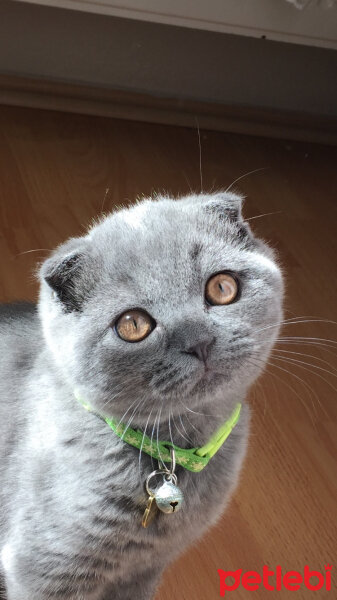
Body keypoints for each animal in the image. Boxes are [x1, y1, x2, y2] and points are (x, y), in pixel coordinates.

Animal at [0, 193, 282, 600]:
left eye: (222, 288)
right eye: (133, 324)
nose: (199, 341)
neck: (173, 450)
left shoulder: (144, 570)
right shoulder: (44, 567)